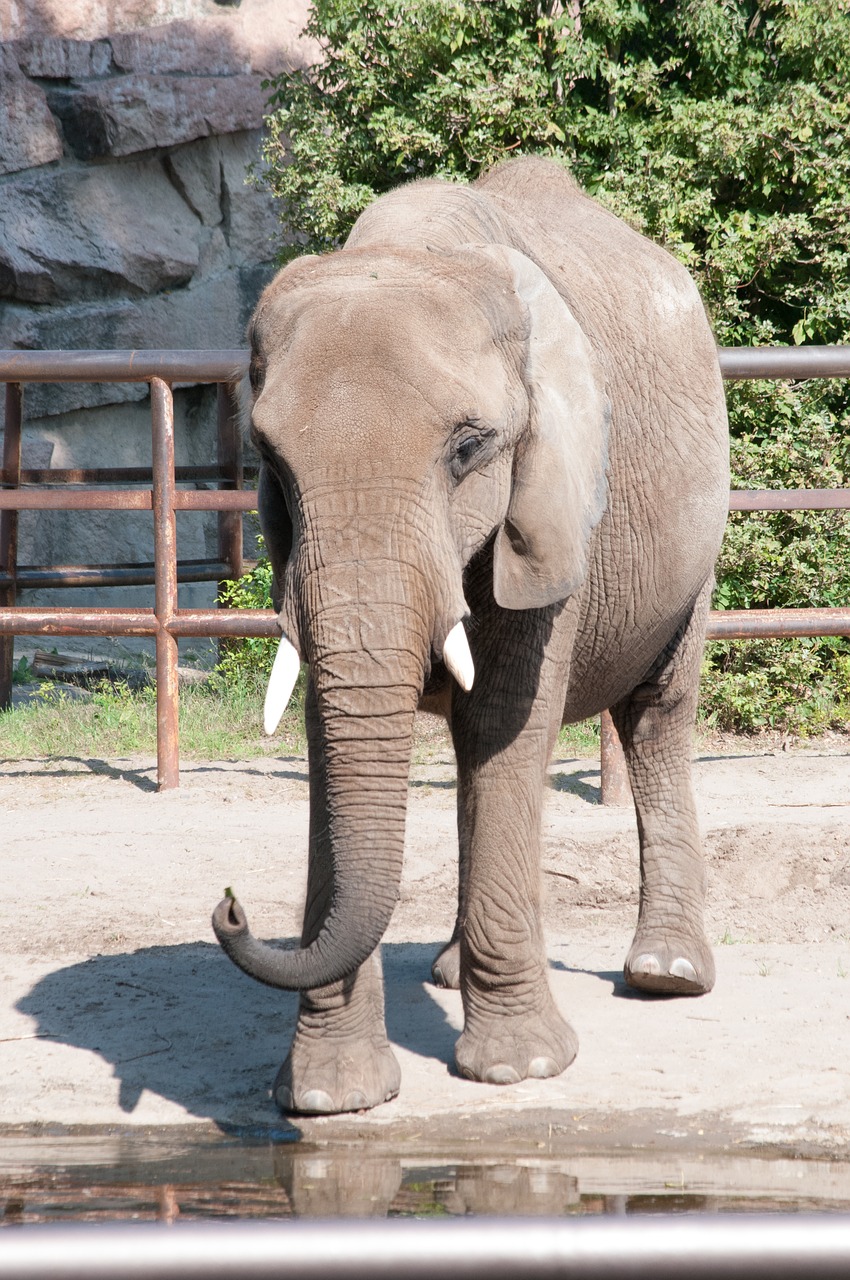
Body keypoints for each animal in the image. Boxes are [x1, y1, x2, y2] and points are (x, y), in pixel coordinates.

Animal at [212, 154, 732, 1116]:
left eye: (468, 449)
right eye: (269, 462)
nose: (230, 906)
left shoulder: (555, 488)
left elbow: (505, 719)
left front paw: (521, 1070)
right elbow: (331, 735)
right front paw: (330, 1097)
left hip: (700, 534)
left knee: (657, 712)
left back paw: (667, 974)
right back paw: (451, 972)